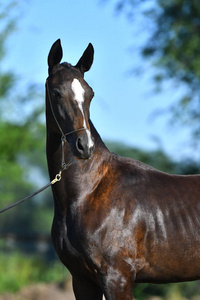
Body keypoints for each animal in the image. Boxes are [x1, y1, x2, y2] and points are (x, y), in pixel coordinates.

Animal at [45, 38, 200, 298]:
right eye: (56, 93)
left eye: (90, 94)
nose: (84, 146)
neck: (88, 193)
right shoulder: (82, 280)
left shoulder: (117, 278)